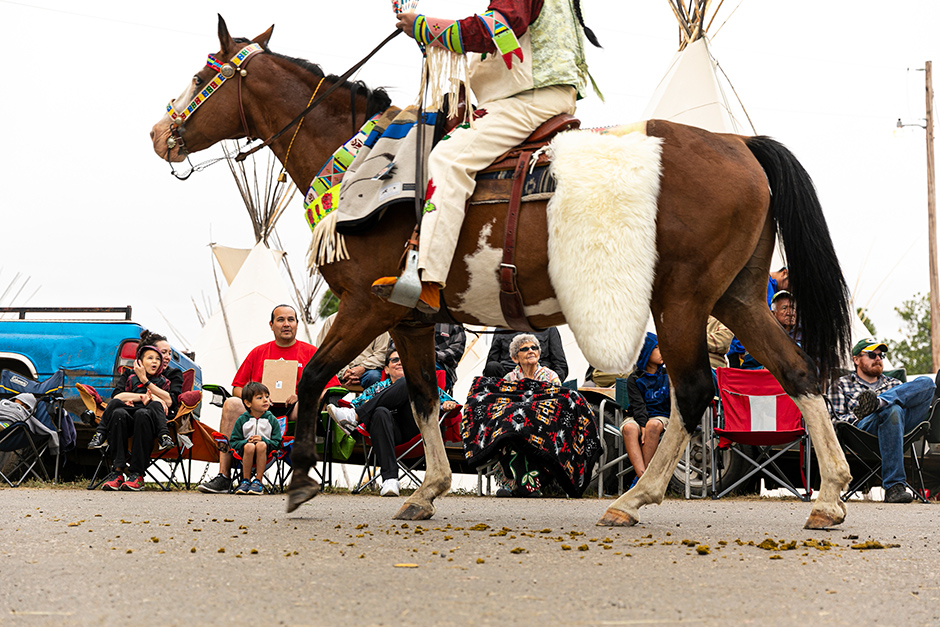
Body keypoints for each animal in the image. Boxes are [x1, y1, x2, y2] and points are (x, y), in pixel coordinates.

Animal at [151, 18, 856, 528]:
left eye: (203, 73)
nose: (161, 134)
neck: (358, 160)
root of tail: (741, 147)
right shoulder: (411, 315)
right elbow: (425, 396)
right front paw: (428, 490)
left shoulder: (367, 306)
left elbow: (314, 377)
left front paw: (298, 480)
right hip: (737, 297)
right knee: (796, 371)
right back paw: (830, 496)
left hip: (681, 299)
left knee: (693, 393)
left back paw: (635, 500)